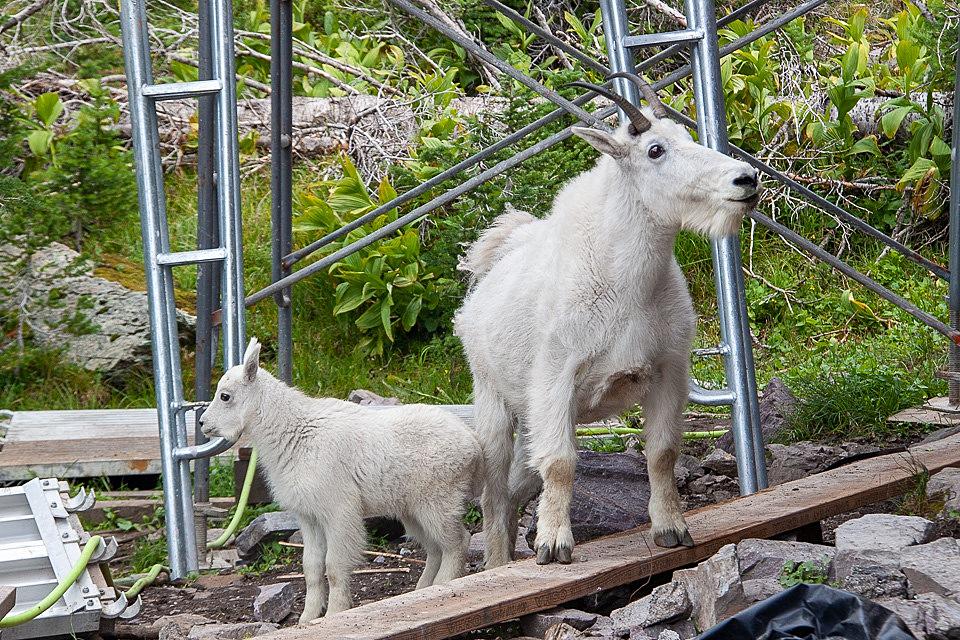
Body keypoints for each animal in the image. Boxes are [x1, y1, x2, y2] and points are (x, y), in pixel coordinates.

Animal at [199, 338, 483, 621]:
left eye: (225, 396)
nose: (202, 423)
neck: (295, 434)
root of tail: (473, 444)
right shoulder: (309, 516)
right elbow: (311, 568)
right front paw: (307, 618)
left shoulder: (338, 510)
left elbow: (334, 567)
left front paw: (335, 612)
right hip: (413, 507)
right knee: (435, 547)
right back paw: (423, 589)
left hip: (439, 499)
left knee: (457, 542)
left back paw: (444, 584)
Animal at [454, 73, 760, 567]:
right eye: (655, 150)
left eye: (688, 135)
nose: (745, 178)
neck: (626, 283)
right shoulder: (556, 377)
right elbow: (561, 462)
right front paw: (553, 546)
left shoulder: (668, 372)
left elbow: (662, 453)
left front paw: (672, 529)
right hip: (493, 401)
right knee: (494, 495)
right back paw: (499, 564)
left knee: (518, 488)